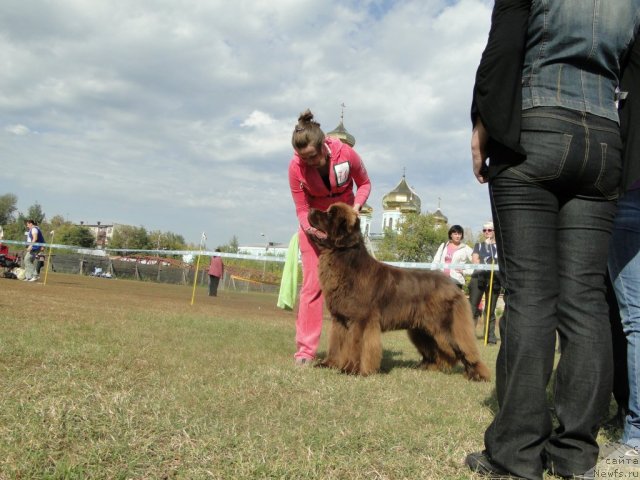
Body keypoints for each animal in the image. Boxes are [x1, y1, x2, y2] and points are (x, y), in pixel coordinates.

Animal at [308, 202, 492, 382]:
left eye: (330, 214)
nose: (309, 209)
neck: (347, 262)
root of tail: (452, 284)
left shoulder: (361, 320)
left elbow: (357, 346)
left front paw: (352, 369)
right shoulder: (340, 320)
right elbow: (336, 344)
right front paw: (329, 364)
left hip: (446, 326)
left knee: (463, 348)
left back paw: (478, 375)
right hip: (422, 330)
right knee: (436, 351)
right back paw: (425, 367)